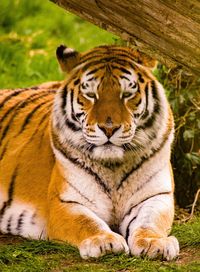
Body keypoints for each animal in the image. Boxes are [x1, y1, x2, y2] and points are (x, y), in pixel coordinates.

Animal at [0, 45, 179, 260]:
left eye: (127, 94)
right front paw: (104, 241)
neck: (113, 166)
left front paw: (155, 243)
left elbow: (149, 222)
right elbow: (87, 223)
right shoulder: (65, 202)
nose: (109, 128)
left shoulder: (156, 196)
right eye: (91, 95)